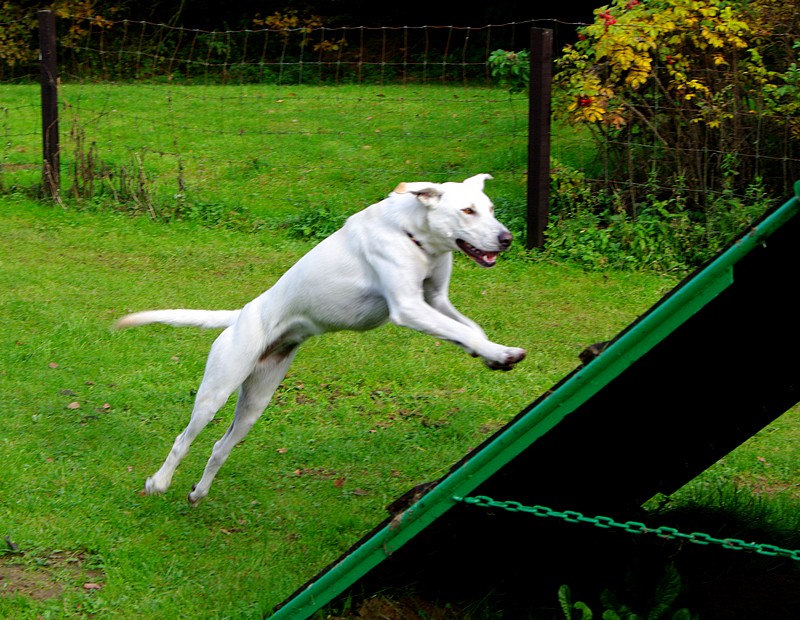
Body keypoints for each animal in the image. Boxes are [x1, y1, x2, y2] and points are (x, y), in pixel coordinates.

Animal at [114, 174, 524, 504]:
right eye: (468, 211)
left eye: (490, 209)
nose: (506, 238)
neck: (411, 232)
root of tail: (241, 315)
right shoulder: (409, 307)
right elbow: (461, 329)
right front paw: (500, 353)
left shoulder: (436, 299)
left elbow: (469, 329)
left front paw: (490, 352)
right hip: (216, 392)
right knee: (183, 440)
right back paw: (158, 483)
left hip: (255, 402)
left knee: (218, 448)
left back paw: (199, 493)